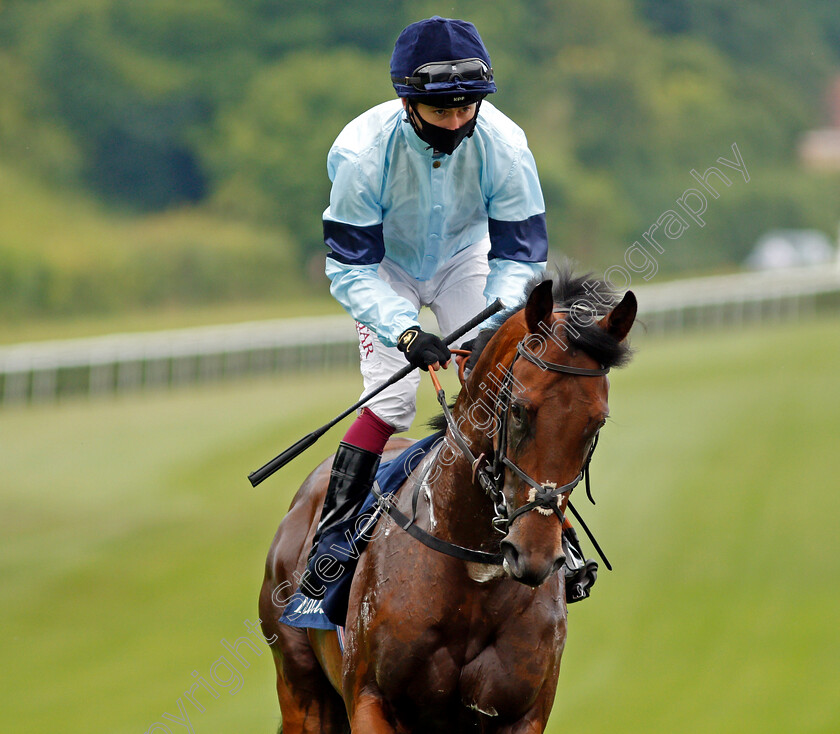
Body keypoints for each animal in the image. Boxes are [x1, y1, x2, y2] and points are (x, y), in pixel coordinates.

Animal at [260, 274, 632, 732]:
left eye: (596, 423)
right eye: (519, 410)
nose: (534, 556)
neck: (473, 568)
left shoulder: (522, 715)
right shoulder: (370, 700)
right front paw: (421, 344)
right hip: (300, 687)